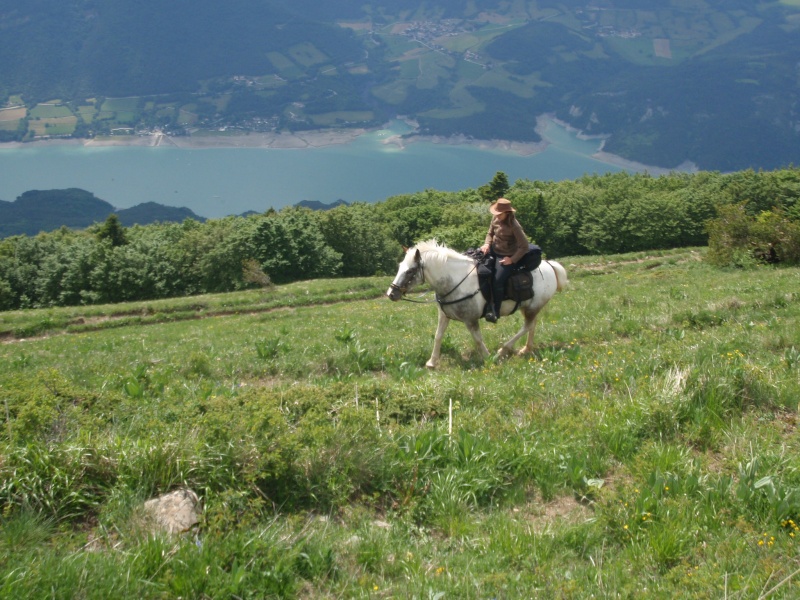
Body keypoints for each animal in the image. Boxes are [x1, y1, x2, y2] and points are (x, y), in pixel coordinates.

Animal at [388, 241, 568, 368]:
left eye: (410, 271)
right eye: (400, 267)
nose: (391, 294)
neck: (455, 280)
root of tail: (550, 265)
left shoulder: (470, 320)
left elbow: (478, 339)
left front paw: (488, 358)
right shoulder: (444, 315)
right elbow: (438, 336)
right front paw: (432, 362)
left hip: (533, 307)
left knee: (527, 326)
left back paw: (502, 351)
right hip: (528, 307)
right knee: (532, 325)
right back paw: (526, 349)